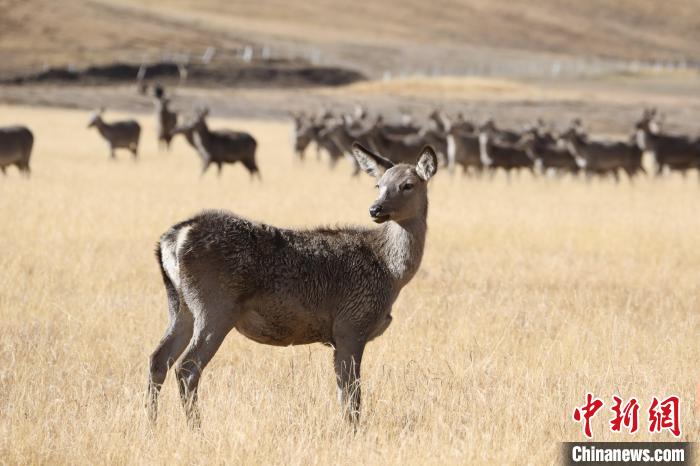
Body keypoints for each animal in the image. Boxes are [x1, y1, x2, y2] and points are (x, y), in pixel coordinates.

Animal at [148, 144, 438, 428]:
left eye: (408, 184)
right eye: (379, 184)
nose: (375, 209)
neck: (390, 271)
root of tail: (173, 238)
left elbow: (344, 393)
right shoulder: (351, 324)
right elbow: (352, 394)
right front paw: (352, 432)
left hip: (180, 305)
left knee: (158, 359)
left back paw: (150, 424)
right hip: (216, 305)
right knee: (187, 367)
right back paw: (196, 428)